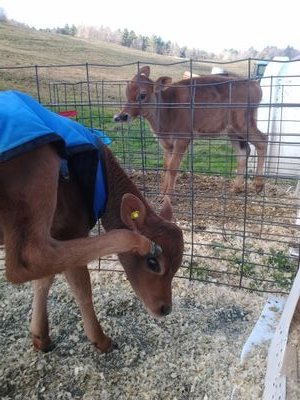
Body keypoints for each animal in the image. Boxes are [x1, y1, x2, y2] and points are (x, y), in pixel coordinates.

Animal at [0, 142, 183, 352]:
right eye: (153, 264)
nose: (165, 309)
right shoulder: (71, 228)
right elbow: (81, 287)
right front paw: (100, 339)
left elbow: (44, 279)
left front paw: (40, 336)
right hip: (40, 166)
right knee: (29, 258)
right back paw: (141, 243)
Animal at [114, 65, 268, 200]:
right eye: (127, 93)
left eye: (142, 95)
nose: (121, 116)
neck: (166, 110)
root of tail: (254, 83)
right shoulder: (166, 143)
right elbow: (166, 166)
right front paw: (162, 194)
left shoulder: (183, 138)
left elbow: (173, 167)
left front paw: (168, 197)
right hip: (232, 131)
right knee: (243, 152)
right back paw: (236, 188)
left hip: (244, 124)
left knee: (262, 141)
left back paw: (258, 184)